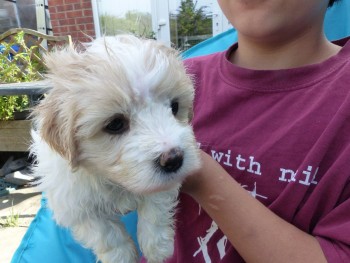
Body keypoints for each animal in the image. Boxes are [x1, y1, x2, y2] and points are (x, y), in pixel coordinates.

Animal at [31, 35, 201, 263]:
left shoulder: (164, 184)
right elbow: (105, 233)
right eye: (115, 124)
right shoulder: (73, 201)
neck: (114, 180)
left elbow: (155, 209)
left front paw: (157, 248)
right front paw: (122, 256)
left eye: (174, 107)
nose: (174, 159)